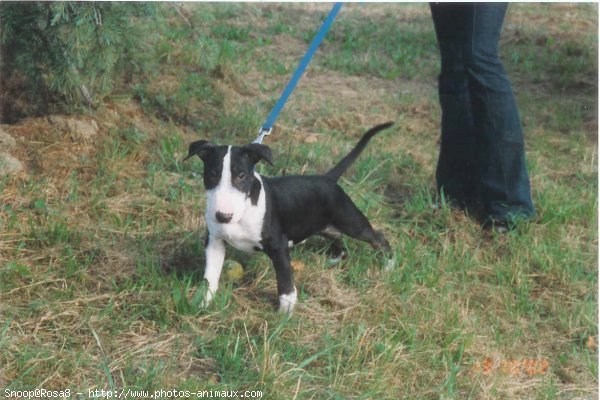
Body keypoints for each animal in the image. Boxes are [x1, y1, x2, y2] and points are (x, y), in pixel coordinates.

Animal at [185, 122, 396, 312]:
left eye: (242, 175)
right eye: (212, 174)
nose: (223, 216)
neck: (243, 211)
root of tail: (328, 178)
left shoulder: (278, 246)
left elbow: (285, 281)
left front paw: (284, 314)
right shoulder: (215, 241)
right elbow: (210, 275)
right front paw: (203, 302)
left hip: (350, 221)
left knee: (377, 237)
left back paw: (389, 264)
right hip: (321, 224)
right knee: (336, 236)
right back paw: (335, 259)